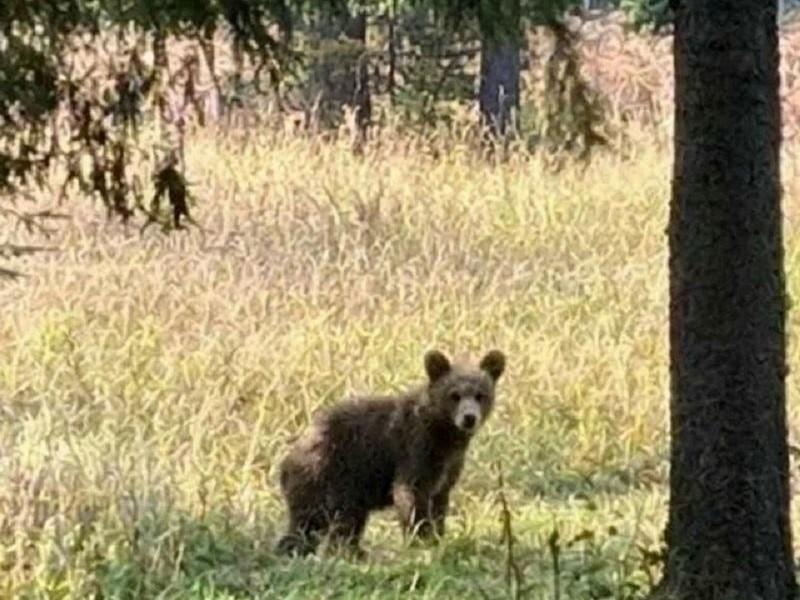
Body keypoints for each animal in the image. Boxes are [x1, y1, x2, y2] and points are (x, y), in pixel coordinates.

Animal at [275, 348, 506, 557]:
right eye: (454, 395)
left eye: (480, 395)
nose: (469, 418)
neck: (444, 434)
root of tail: (288, 456)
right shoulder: (416, 448)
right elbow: (410, 493)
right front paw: (421, 539)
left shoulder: (449, 466)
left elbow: (439, 500)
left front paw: (438, 537)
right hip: (329, 473)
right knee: (317, 521)